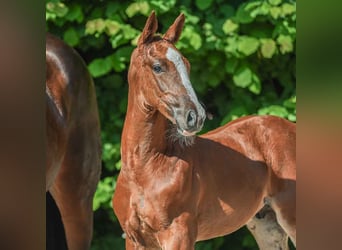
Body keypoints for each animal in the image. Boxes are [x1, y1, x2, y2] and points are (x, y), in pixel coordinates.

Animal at [113, 12, 296, 249]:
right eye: (157, 67)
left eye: (187, 65)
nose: (195, 116)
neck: (145, 167)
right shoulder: (135, 239)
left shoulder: (179, 235)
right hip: (267, 225)